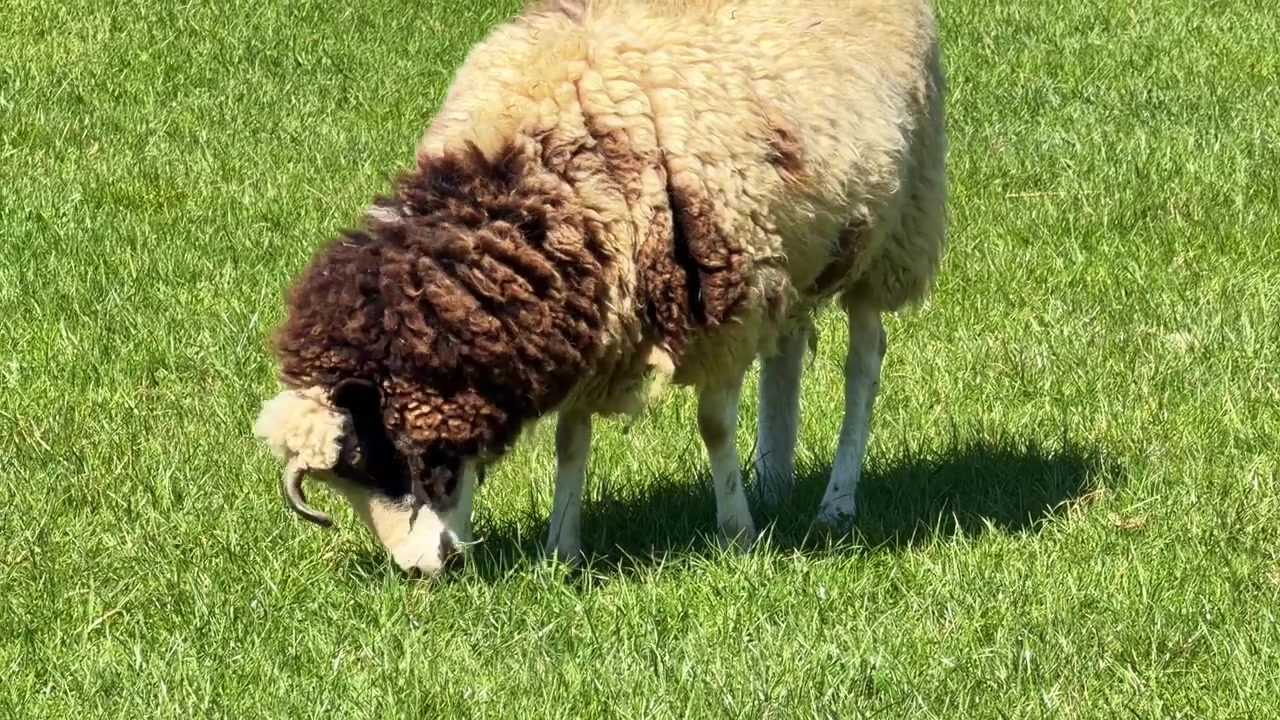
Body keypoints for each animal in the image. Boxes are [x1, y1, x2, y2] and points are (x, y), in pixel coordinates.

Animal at [251, 0, 947, 574]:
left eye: (384, 458)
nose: (422, 570)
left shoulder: (725, 303)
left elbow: (714, 426)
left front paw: (737, 534)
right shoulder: (597, 312)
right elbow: (570, 442)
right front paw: (562, 551)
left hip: (891, 231)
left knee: (864, 361)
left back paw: (836, 499)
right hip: (799, 250)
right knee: (789, 350)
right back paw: (774, 477)